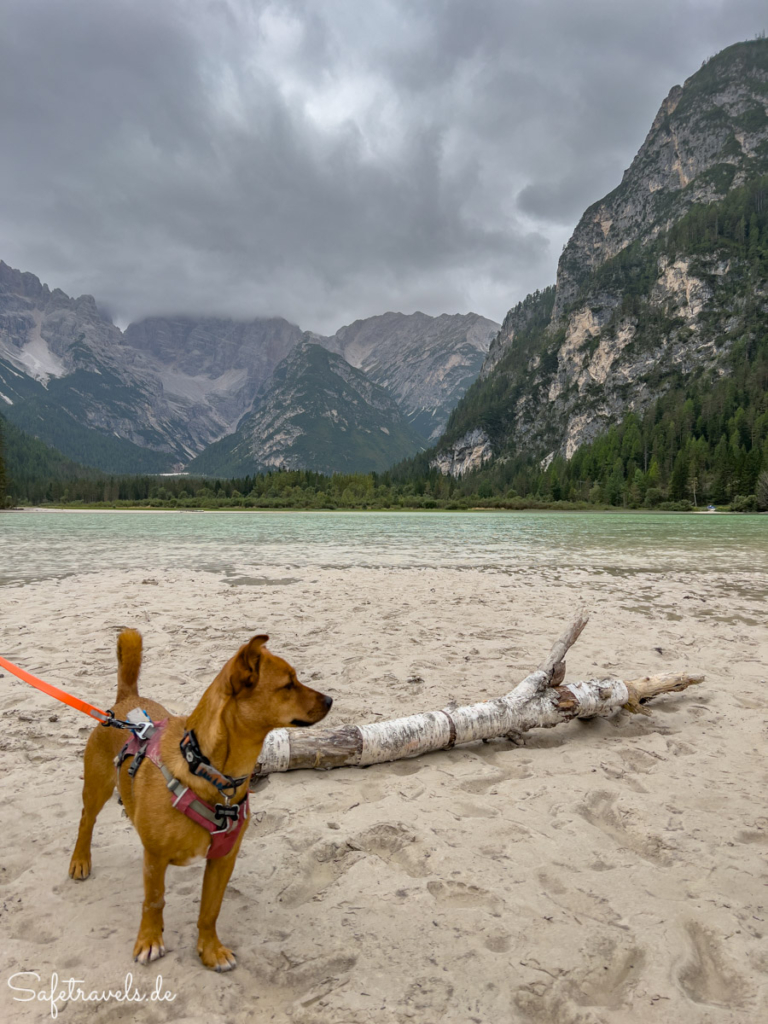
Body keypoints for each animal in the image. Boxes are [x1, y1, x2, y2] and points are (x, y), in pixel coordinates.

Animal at [72, 626, 333, 970]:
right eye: (288, 684)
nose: (331, 699)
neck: (208, 770)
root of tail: (127, 699)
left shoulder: (223, 859)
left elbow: (210, 909)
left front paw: (210, 950)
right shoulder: (155, 859)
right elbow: (154, 901)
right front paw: (149, 940)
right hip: (97, 788)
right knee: (86, 820)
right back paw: (80, 860)